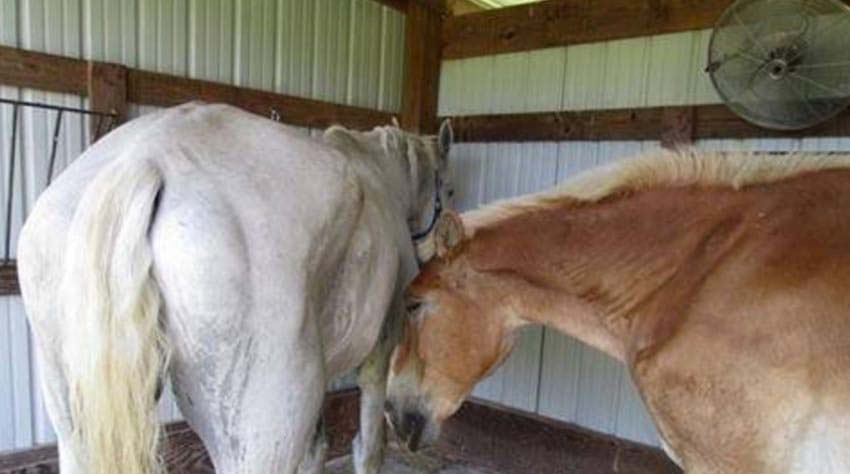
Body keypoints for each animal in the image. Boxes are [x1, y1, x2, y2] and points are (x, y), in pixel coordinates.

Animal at [16, 103, 450, 474]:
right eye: (447, 190)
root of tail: (143, 159)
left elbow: (316, 450)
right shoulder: (379, 354)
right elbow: (367, 448)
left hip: (75, 423)